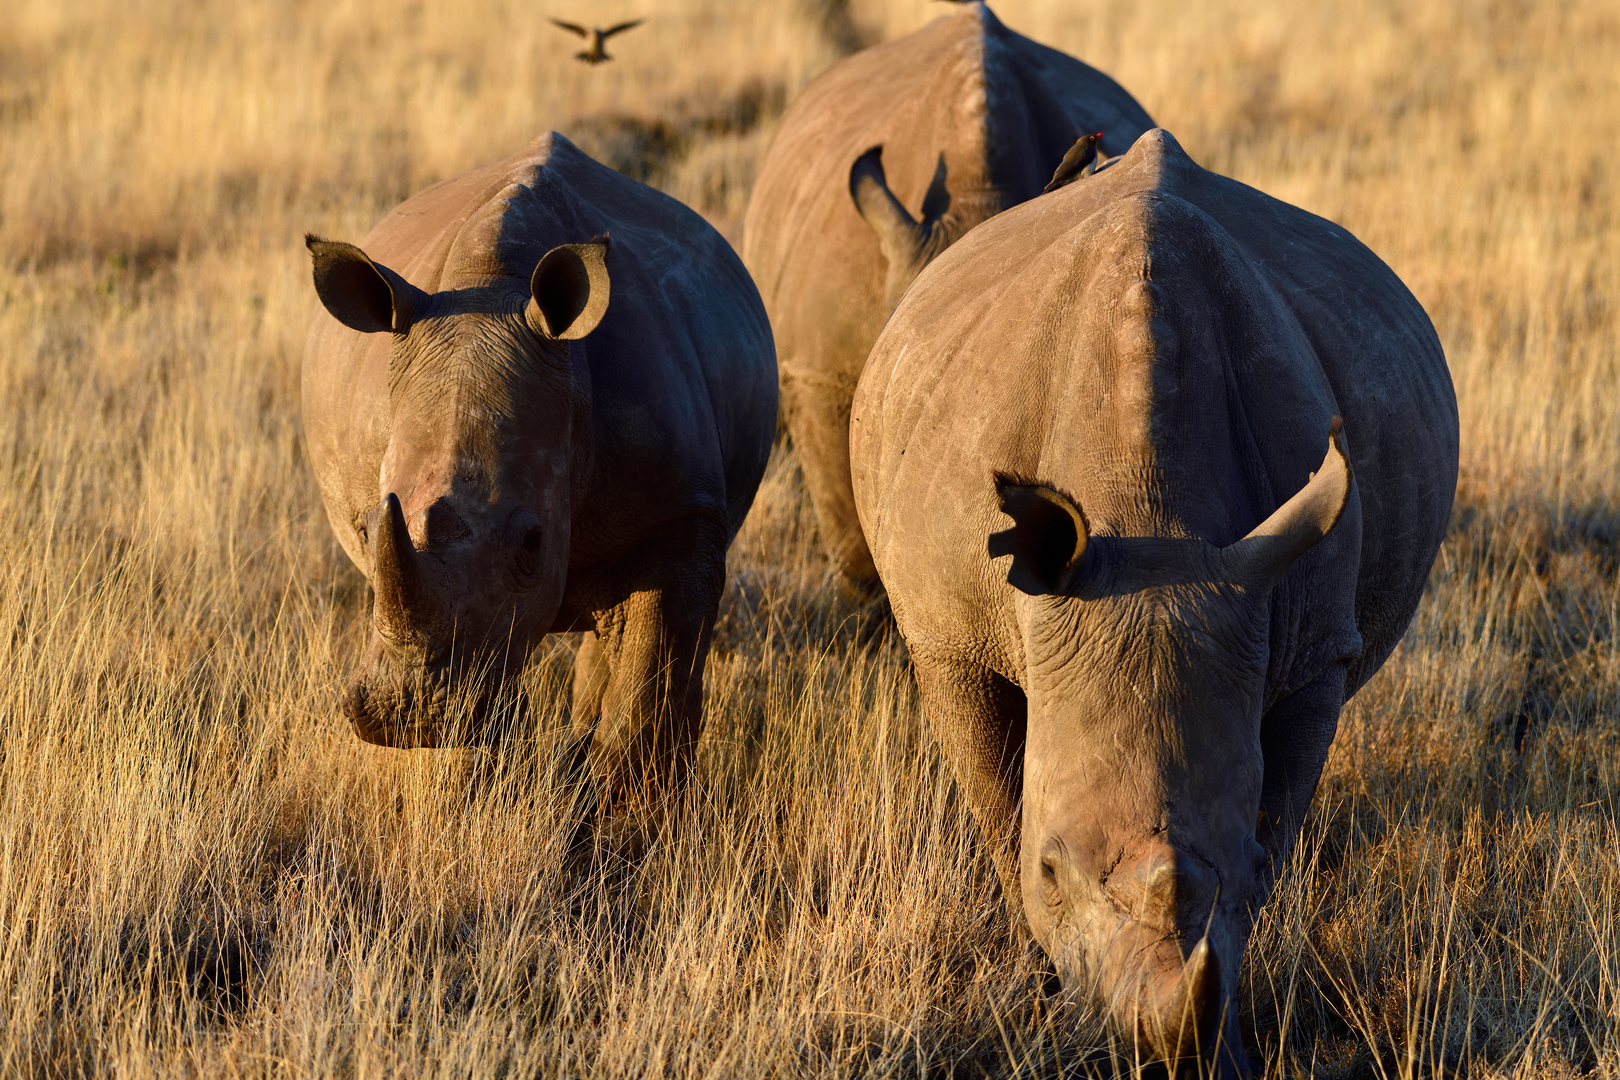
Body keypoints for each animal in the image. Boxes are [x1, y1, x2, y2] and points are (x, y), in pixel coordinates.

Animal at [304, 132, 784, 829]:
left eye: (532, 545)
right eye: (365, 534)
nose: (402, 712)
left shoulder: (679, 514)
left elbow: (652, 665)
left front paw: (631, 822)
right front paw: (479, 801)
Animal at [848, 131, 1458, 1068]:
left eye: (1250, 868)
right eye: (1051, 871)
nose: (1152, 1059)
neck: (1150, 519)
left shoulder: (1315, 646)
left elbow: (1277, 818)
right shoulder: (951, 637)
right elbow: (998, 804)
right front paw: (1044, 995)